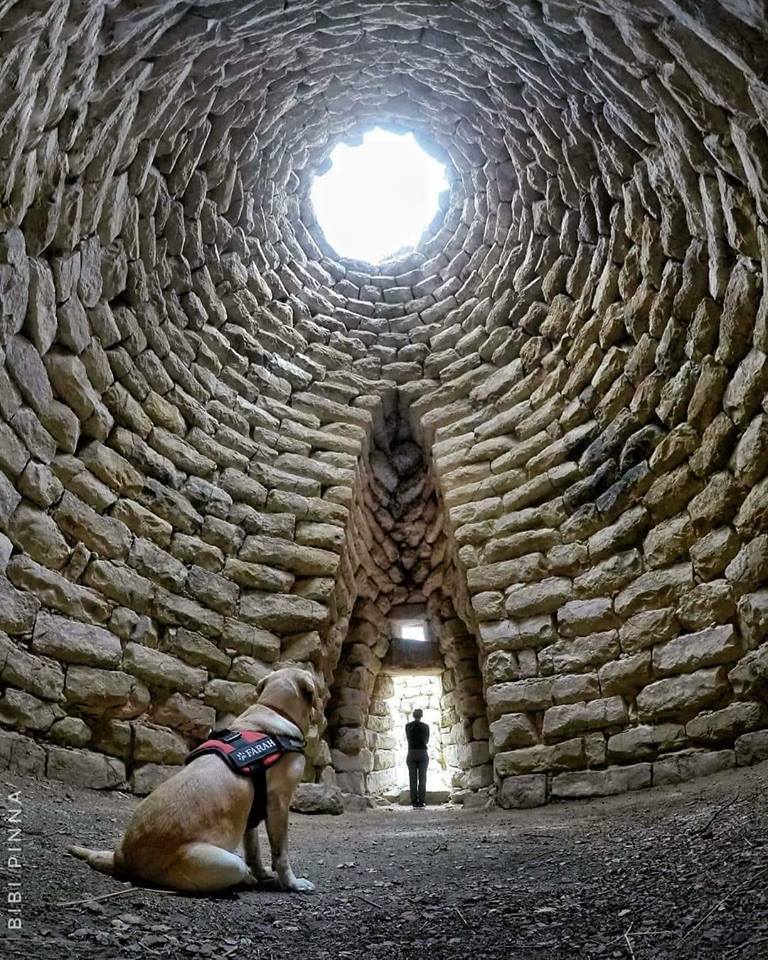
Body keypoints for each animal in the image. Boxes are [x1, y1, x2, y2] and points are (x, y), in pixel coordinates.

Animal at [69, 666, 317, 893]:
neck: (275, 709)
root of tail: (122, 860)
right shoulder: (279, 803)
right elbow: (281, 853)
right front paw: (292, 883)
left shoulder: (252, 813)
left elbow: (253, 849)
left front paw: (261, 872)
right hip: (224, 863)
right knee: (233, 870)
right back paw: (246, 879)